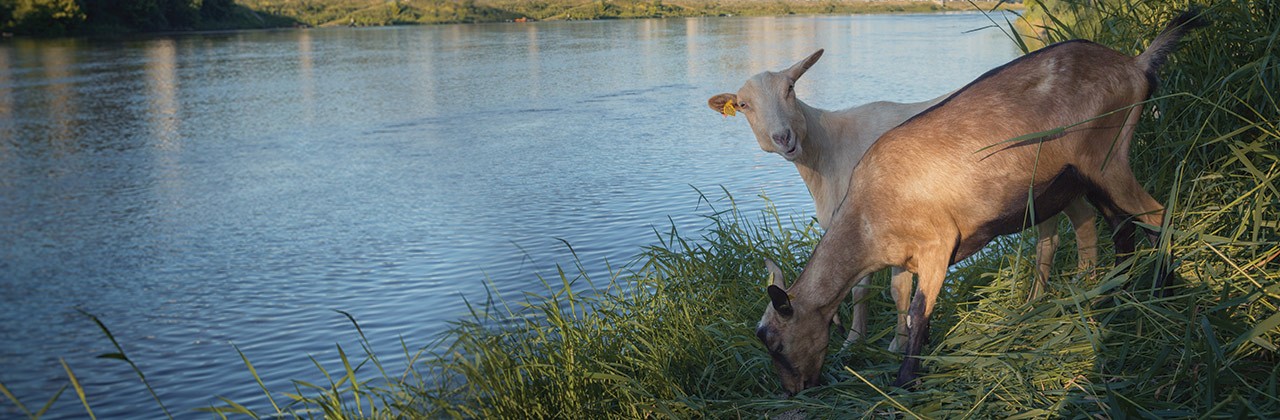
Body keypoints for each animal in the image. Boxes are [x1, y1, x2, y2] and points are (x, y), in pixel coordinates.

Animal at [706, 49, 1095, 350]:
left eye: (790, 88)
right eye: (744, 105)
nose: (783, 137)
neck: (828, 149)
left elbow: (885, 291)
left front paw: (878, 342)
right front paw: (866, 339)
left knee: (1054, 235)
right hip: (1057, 182)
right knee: (1067, 226)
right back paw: (1061, 292)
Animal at [752, 10, 1203, 394]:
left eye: (777, 344)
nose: (793, 390)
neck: (866, 214)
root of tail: (1136, 64)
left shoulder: (938, 244)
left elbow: (918, 311)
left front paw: (905, 380)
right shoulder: (909, 259)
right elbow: (906, 302)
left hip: (1107, 157)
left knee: (1155, 214)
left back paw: (1163, 295)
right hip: (1084, 174)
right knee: (1120, 224)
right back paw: (1115, 296)